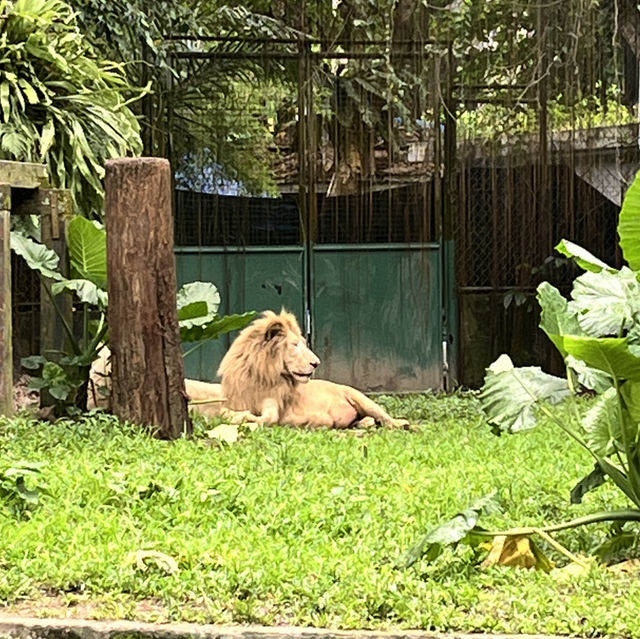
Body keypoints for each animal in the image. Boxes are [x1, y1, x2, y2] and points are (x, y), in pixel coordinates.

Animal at [188, 310, 410, 430]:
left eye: (304, 343)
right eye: (295, 345)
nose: (317, 363)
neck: (261, 375)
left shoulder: (274, 404)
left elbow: (267, 418)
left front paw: (248, 420)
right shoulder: (234, 400)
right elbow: (226, 412)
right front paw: (238, 417)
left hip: (359, 396)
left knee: (383, 416)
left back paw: (401, 423)